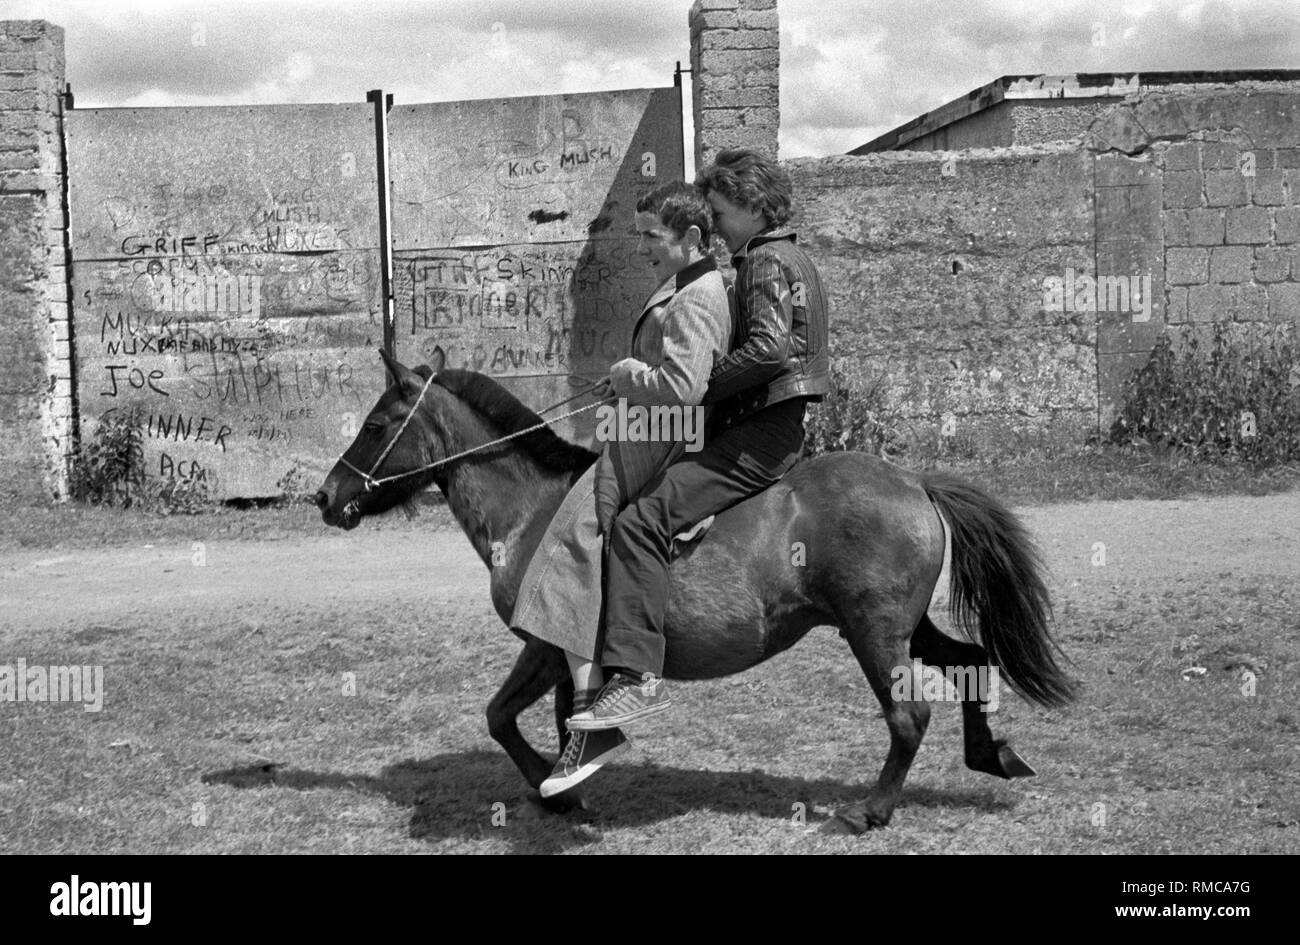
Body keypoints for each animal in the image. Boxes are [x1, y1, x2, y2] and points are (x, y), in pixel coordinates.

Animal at [314, 350, 1076, 831]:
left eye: (377, 423)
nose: (326, 495)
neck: (534, 510)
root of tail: (915, 482)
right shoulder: (563, 654)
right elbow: (550, 717)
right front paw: (568, 777)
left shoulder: (545, 645)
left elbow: (502, 716)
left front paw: (554, 788)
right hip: (906, 626)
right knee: (973, 660)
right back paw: (993, 755)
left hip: (875, 632)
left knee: (908, 716)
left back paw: (872, 809)